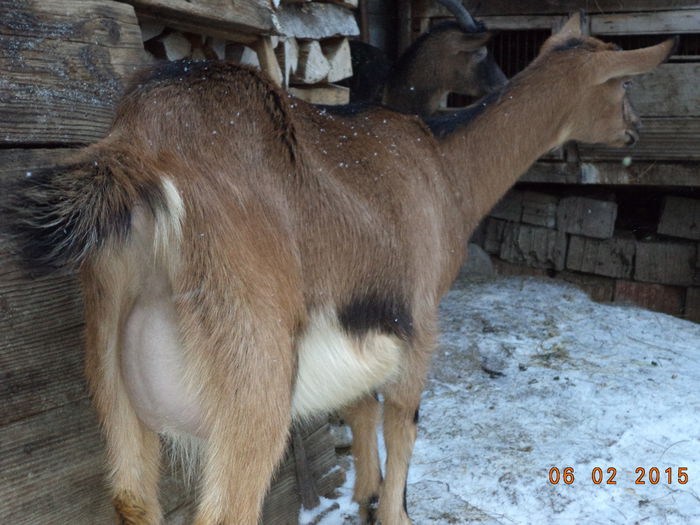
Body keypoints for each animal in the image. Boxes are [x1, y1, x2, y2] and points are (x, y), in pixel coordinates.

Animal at [5, 11, 672, 524]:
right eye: (621, 85)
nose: (637, 129)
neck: (446, 167)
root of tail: (142, 149)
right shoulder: (420, 319)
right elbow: (402, 420)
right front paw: (393, 509)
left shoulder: (363, 318)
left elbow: (359, 406)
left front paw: (363, 497)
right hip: (253, 371)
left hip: (110, 363)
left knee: (130, 497)